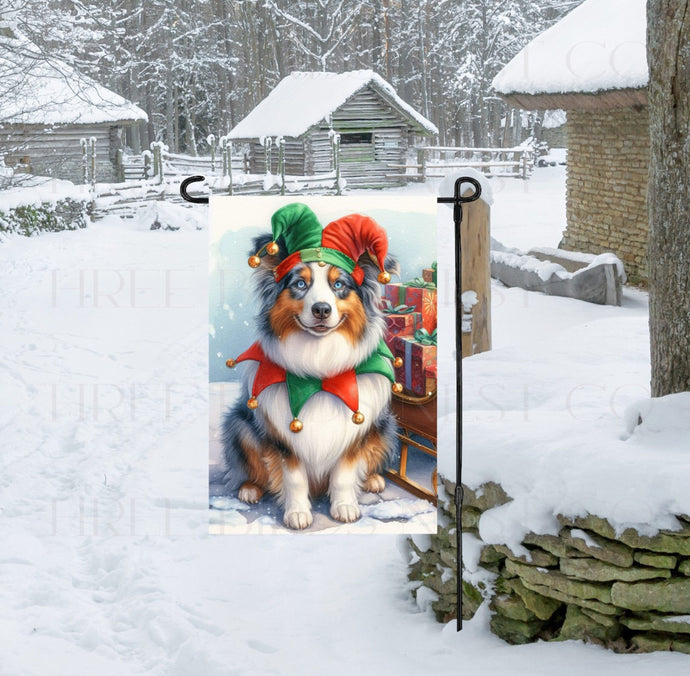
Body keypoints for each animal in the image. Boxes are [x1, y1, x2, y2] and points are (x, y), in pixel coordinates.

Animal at [220, 235, 398, 532]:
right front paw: (297, 514)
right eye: (300, 284)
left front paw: (345, 507)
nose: (322, 309)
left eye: (339, 285)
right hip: (240, 425)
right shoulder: (282, 439)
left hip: (384, 427)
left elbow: (344, 475)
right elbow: (293, 479)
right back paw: (249, 489)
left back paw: (373, 480)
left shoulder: (352, 436)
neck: (319, 374)